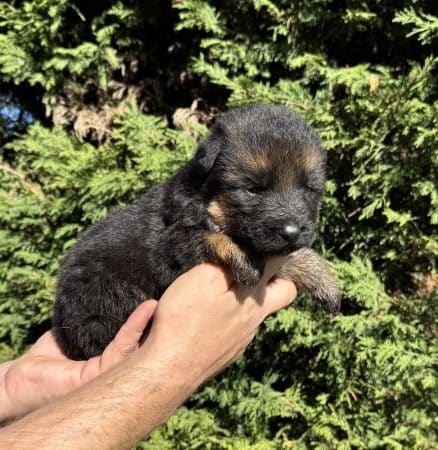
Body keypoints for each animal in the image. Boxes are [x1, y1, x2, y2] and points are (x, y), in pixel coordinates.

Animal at [53, 103, 340, 360]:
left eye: (309, 189)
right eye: (252, 189)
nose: (291, 232)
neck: (206, 202)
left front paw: (322, 279)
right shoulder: (170, 247)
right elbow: (207, 236)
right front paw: (244, 258)